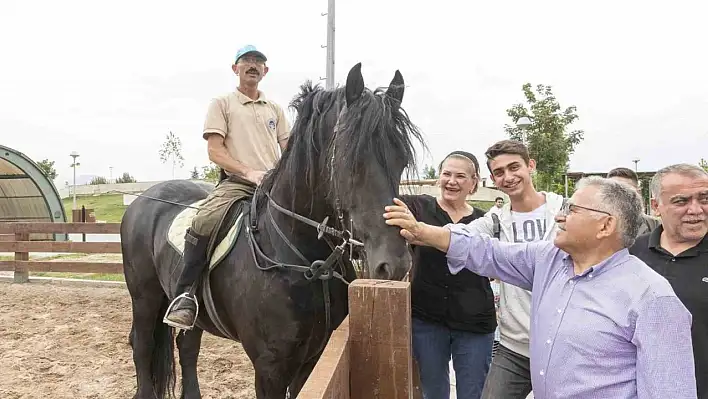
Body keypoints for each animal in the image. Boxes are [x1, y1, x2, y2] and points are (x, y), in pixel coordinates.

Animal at [119, 64, 424, 398]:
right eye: (350, 160)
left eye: (401, 159)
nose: (394, 265)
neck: (305, 258)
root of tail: (145, 198)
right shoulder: (270, 369)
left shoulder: (313, 361)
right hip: (145, 296)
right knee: (142, 344)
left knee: (187, 348)